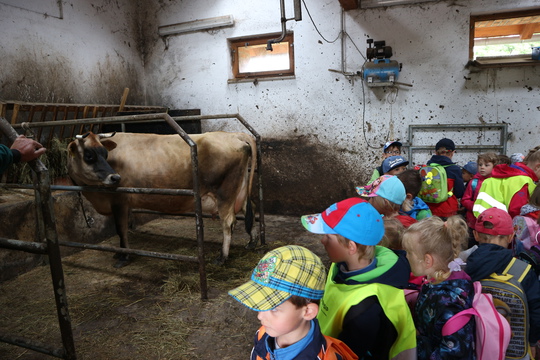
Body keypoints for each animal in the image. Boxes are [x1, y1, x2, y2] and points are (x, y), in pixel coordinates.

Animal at [68, 131, 260, 266]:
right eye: (89, 155)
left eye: (104, 154)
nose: (115, 177)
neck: (97, 196)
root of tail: (233, 134)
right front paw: (120, 252)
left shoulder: (119, 200)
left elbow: (120, 229)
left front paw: (124, 256)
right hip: (239, 189)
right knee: (250, 210)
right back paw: (252, 242)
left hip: (224, 194)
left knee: (228, 222)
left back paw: (222, 257)